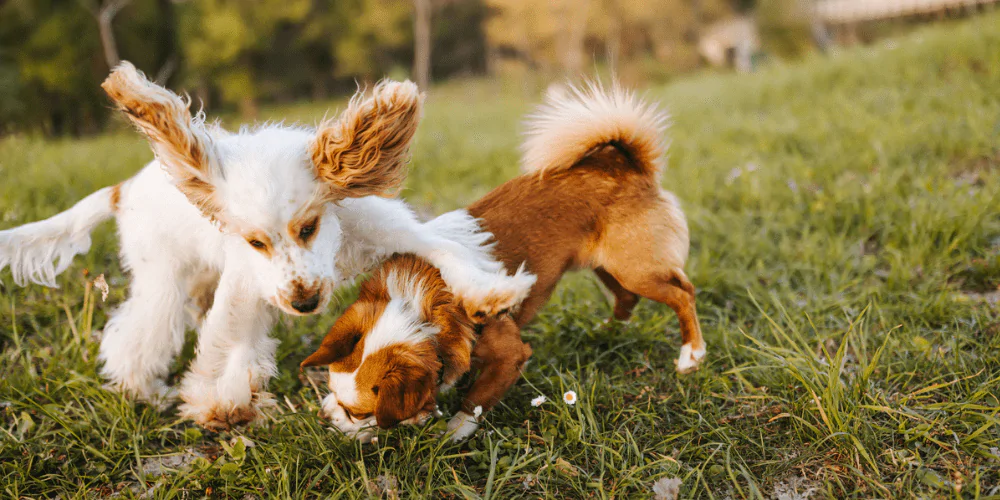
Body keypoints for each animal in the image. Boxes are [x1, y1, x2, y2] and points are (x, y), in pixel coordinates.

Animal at [302, 82, 704, 442]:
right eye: (336, 396)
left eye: (360, 413)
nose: (328, 420)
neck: (419, 309)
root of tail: (622, 165)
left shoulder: (510, 355)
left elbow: (477, 399)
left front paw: (454, 431)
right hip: (604, 266)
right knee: (626, 298)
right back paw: (607, 333)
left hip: (636, 268)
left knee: (682, 293)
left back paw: (691, 355)